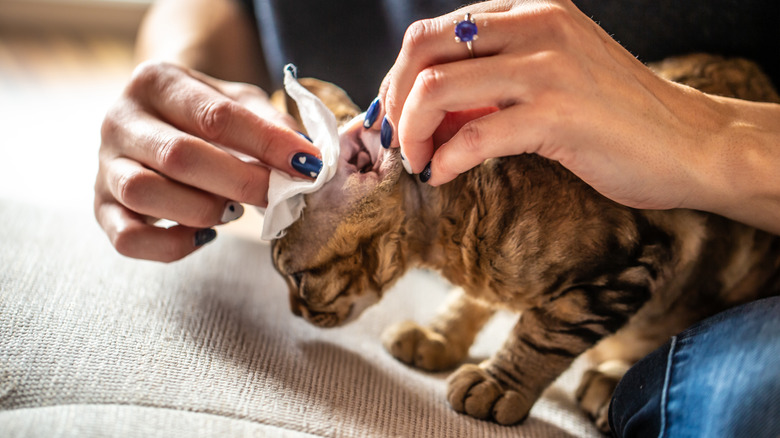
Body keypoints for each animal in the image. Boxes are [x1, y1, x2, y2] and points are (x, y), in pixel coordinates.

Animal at [270, 53, 780, 430]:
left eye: (298, 279)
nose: (294, 312)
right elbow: (473, 301)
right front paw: (440, 334)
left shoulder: (643, 254)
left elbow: (545, 332)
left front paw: (501, 383)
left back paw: (607, 383)